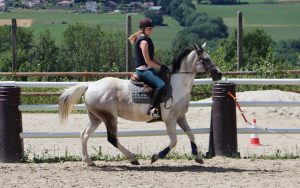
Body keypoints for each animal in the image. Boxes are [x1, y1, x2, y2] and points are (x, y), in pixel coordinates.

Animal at [59, 43, 223, 166]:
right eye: (206, 59)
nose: (219, 74)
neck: (178, 85)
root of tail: (90, 85)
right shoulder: (170, 119)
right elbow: (174, 141)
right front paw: (156, 157)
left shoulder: (181, 117)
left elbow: (191, 134)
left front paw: (198, 157)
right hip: (109, 117)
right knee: (112, 139)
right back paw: (133, 158)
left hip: (96, 117)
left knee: (84, 134)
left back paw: (88, 161)